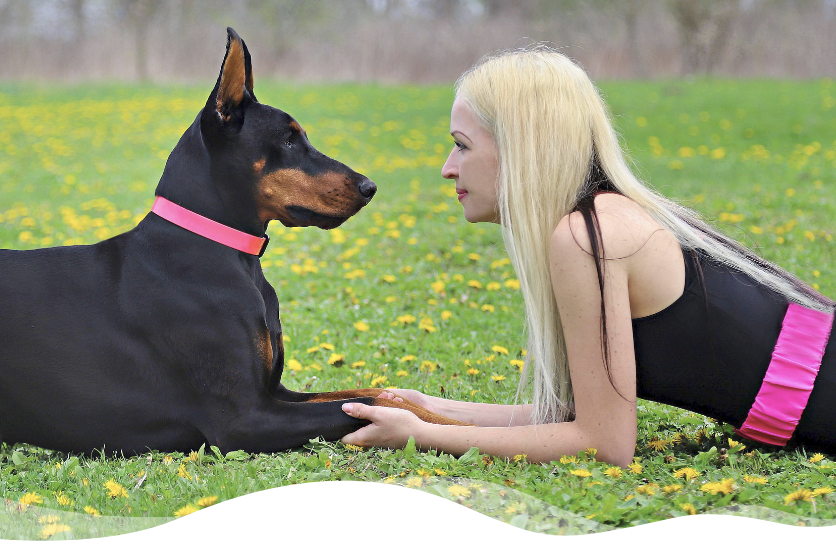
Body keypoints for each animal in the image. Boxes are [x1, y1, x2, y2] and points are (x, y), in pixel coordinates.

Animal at [0, 27, 464, 460]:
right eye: (289, 139)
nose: (370, 187)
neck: (229, 255)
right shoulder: (245, 418)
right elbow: (373, 401)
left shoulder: (273, 393)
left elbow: (383, 393)